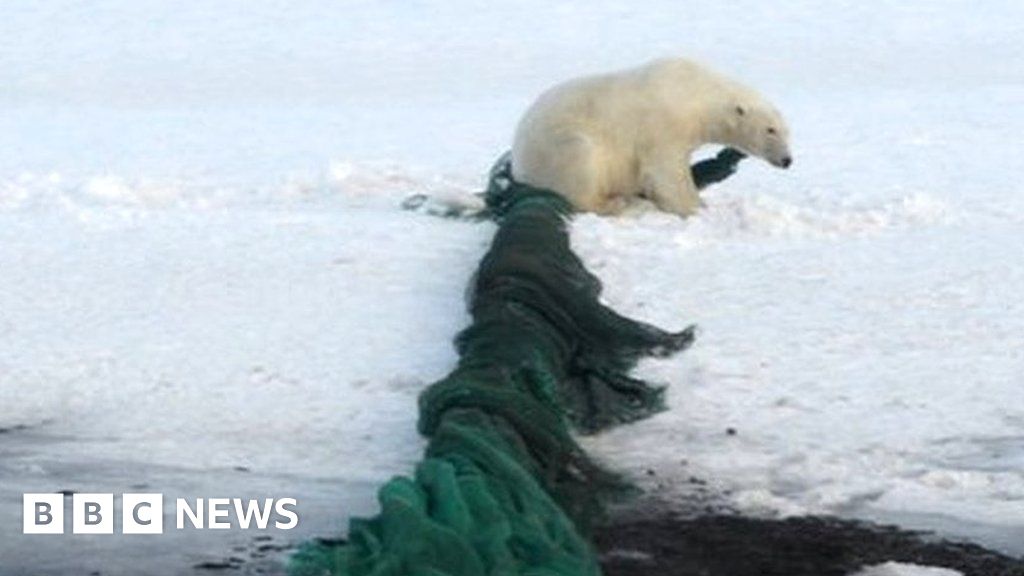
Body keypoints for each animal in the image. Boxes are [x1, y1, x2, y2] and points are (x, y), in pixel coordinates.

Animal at [512, 58, 790, 215]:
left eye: (787, 131)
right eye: (770, 129)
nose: (787, 160)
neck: (697, 92)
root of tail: (518, 165)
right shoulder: (664, 123)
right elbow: (666, 170)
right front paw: (695, 207)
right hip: (555, 145)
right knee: (580, 160)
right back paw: (617, 204)